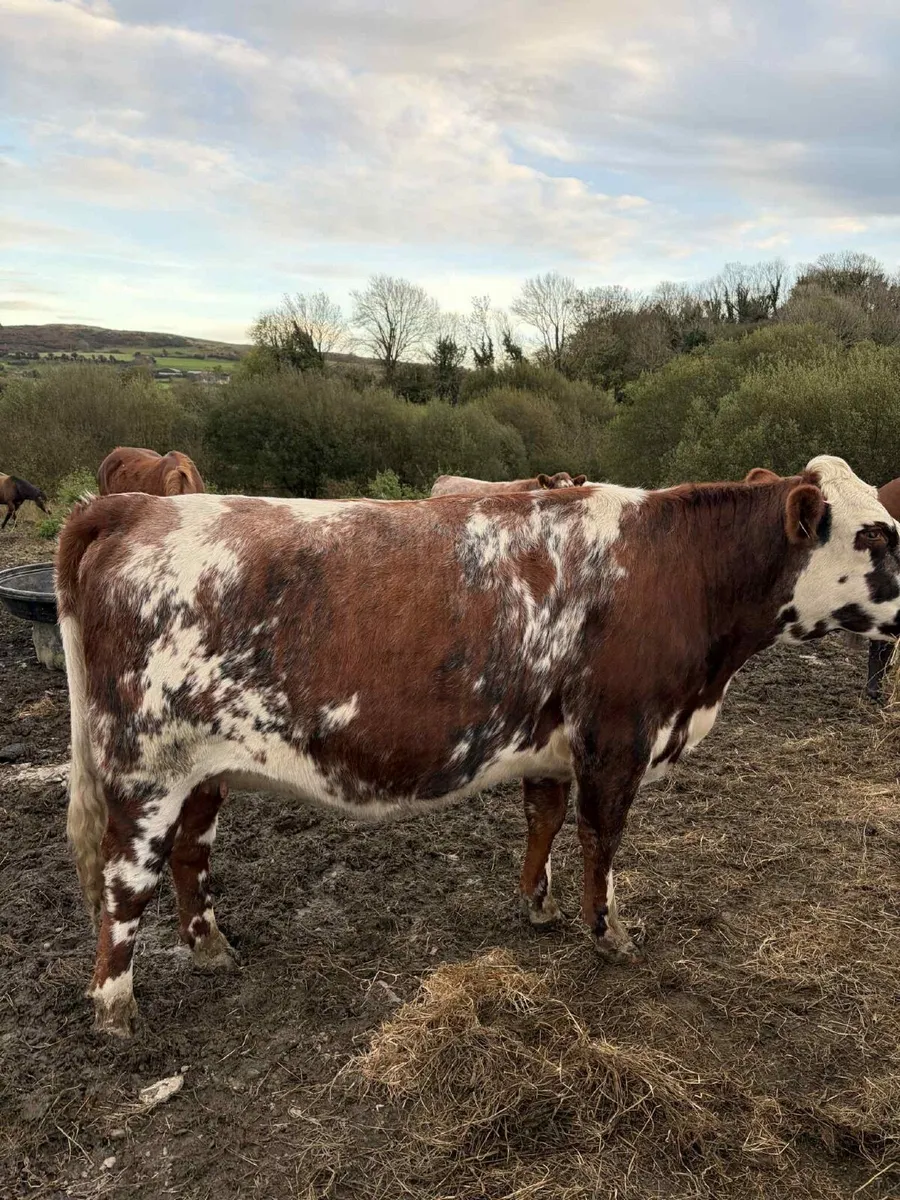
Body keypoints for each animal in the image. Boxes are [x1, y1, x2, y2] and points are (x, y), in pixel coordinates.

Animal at [57, 455, 900, 1036]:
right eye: (875, 535)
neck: (682, 571)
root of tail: (135, 507)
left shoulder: (557, 745)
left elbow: (544, 821)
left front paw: (538, 905)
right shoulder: (617, 739)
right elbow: (602, 841)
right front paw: (610, 933)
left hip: (203, 771)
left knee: (189, 857)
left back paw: (210, 948)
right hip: (144, 770)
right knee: (124, 880)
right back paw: (115, 1007)